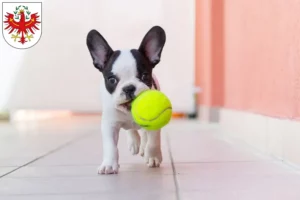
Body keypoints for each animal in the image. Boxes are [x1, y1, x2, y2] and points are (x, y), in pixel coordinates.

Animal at [86, 26, 166, 173]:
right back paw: (134, 142)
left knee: (144, 134)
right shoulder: (110, 125)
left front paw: (152, 156)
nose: (129, 88)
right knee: (131, 129)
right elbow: (110, 146)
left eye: (145, 76)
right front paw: (109, 164)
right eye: (112, 80)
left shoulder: (154, 121)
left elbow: (153, 141)